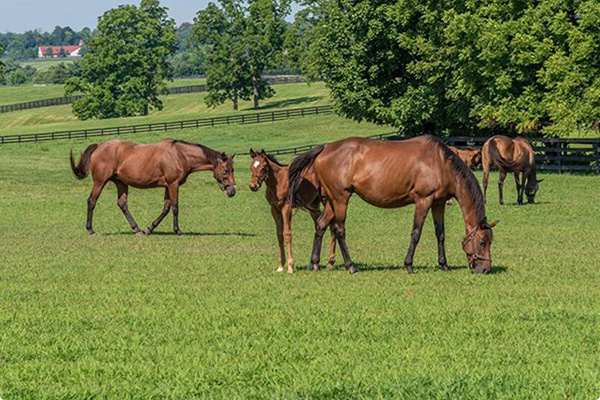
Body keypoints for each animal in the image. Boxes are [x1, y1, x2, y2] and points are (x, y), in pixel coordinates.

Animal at [70, 140, 237, 236]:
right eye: (225, 170)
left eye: (233, 169)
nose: (232, 191)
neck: (180, 155)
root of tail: (99, 146)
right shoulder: (173, 184)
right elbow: (175, 207)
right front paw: (178, 230)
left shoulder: (168, 186)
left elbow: (166, 208)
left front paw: (149, 229)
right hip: (100, 182)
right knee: (91, 201)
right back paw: (90, 229)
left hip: (121, 183)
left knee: (122, 204)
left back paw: (137, 229)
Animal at [288, 134, 500, 276]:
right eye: (483, 242)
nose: (485, 269)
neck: (440, 163)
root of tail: (324, 148)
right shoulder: (423, 200)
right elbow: (416, 233)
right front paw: (409, 265)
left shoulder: (438, 203)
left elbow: (440, 234)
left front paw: (444, 264)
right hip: (340, 200)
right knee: (339, 231)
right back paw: (351, 266)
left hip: (332, 202)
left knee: (321, 225)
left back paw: (315, 263)